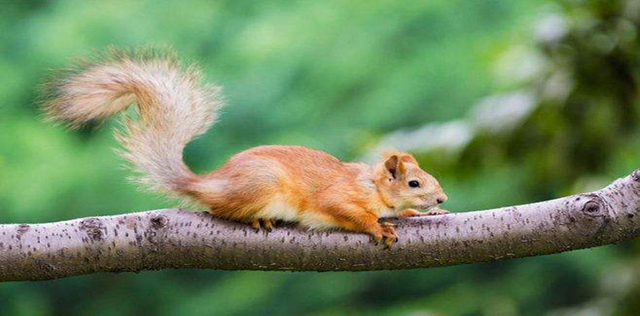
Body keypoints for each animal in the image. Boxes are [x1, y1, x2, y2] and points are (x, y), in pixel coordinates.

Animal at [42, 48, 448, 247]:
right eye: (413, 182)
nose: (442, 198)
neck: (372, 187)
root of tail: (207, 183)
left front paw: (425, 214)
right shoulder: (338, 197)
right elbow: (350, 213)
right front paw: (378, 228)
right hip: (261, 186)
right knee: (221, 210)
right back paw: (256, 218)